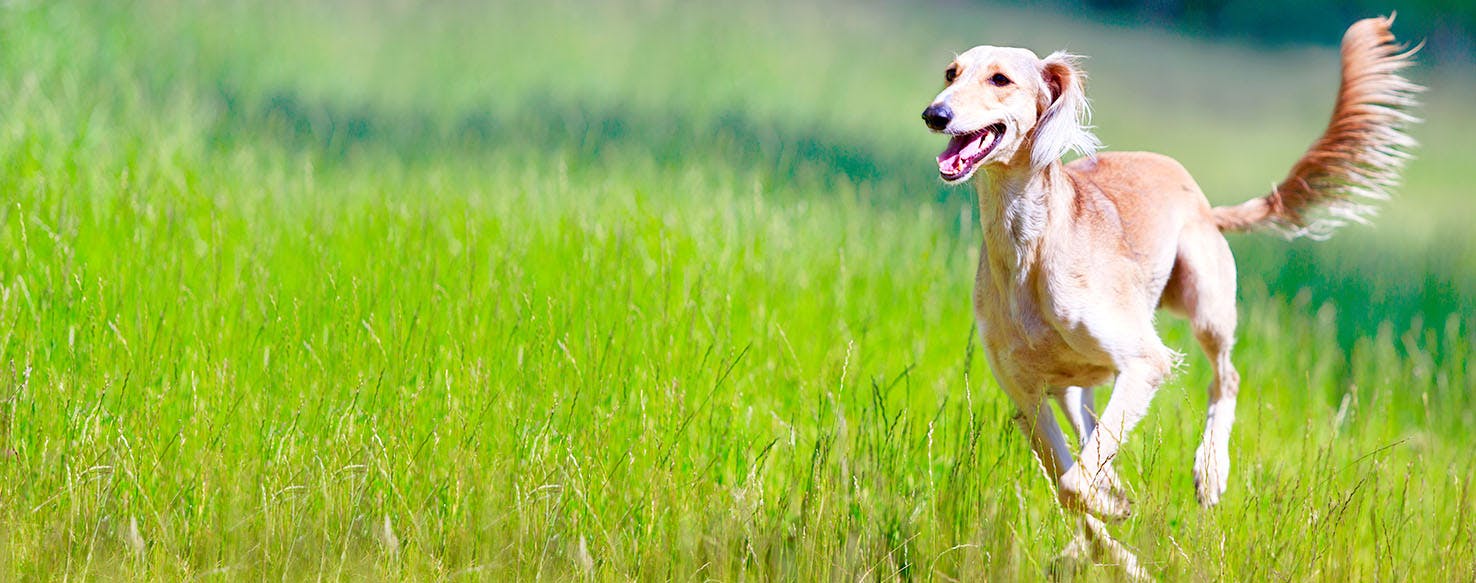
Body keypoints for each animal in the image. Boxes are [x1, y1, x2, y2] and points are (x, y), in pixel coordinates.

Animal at [921, 15, 1416, 522]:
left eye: (1000, 79)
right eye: (951, 73)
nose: (935, 114)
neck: (1028, 249)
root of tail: (1202, 200)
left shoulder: (1145, 362)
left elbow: (1077, 481)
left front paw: (1116, 503)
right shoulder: (1028, 397)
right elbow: (1069, 483)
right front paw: (1110, 508)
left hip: (1205, 302)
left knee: (1226, 378)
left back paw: (1211, 470)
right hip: (1080, 386)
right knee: (1089, 427)